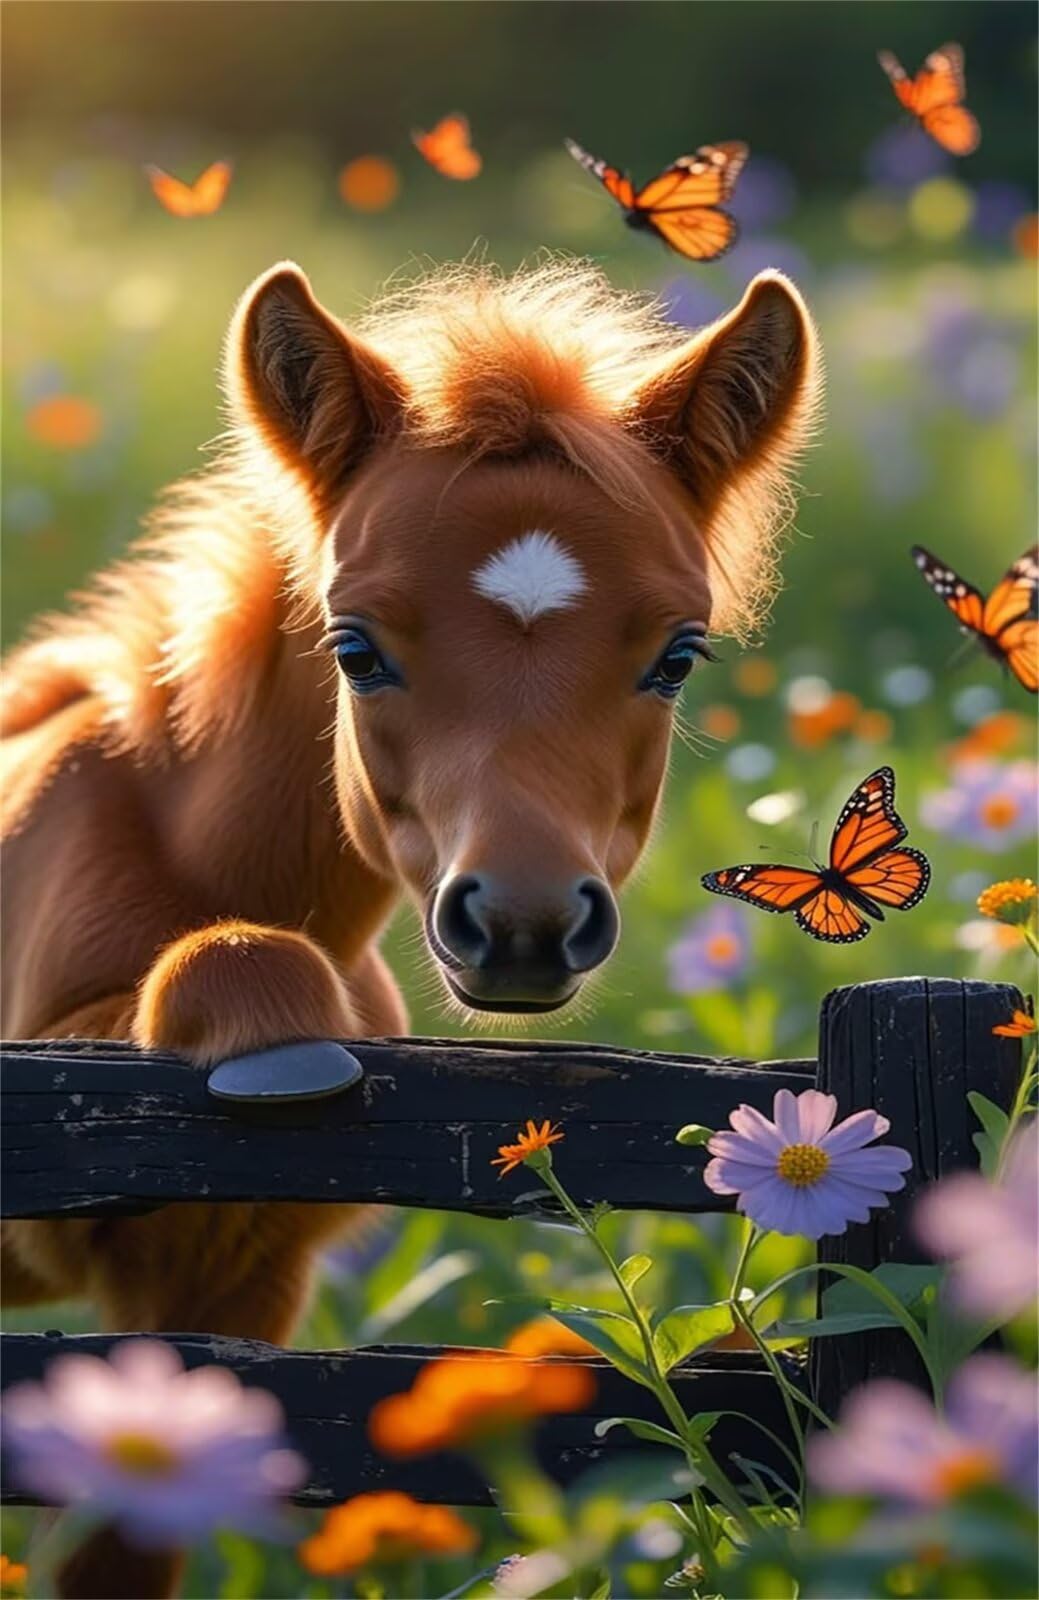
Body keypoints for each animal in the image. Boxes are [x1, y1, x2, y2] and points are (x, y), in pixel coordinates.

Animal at [1, 257, 820, 1596]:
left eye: (677, 655)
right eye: (356, 647)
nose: (525, 923)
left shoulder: (230, 1287)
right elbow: (235, 967)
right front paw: (282, 1049)